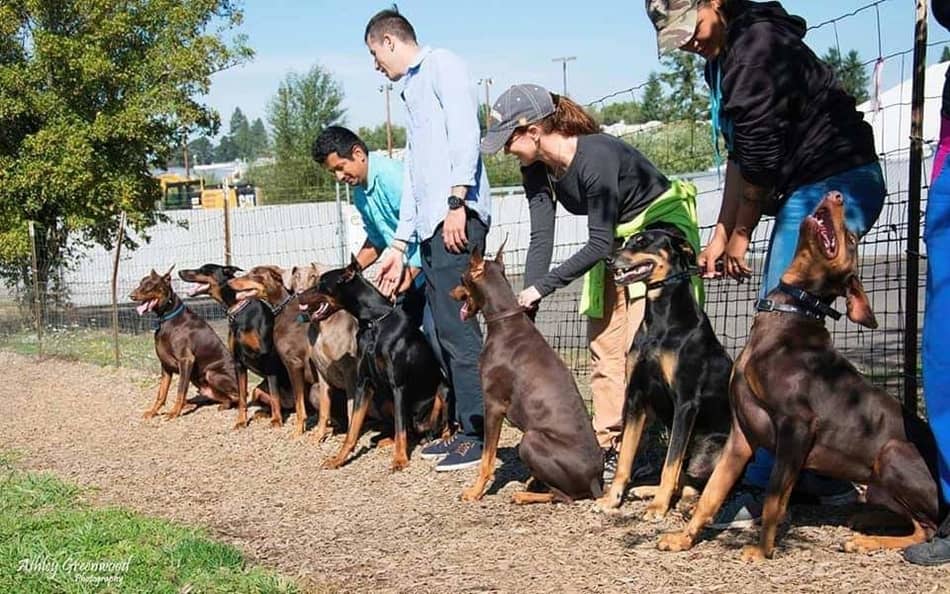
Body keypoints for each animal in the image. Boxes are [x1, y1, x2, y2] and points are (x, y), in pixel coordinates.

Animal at [130, 266, 240, 424]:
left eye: (150, 285)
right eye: (140, 283)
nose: (131, 296)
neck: (167, 318)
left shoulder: (186, 360)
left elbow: (180, 390)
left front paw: (174, 412)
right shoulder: (165, 365)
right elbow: (161, 393)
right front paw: (152, 411)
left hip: (212, 374)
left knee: (236, 397)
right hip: (200, 384)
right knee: (222, 399)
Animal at [298, 260, 446, 472]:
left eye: (320, 283)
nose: (298, 295)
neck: (373, 323)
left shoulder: (398, 386)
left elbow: (400, 426)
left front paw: (400, 460)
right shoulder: (363, 384)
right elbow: (353, 428)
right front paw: (338, 459)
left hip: (442, 390)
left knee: (439, 424)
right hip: (383, 400)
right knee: (409, 428)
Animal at [452, 243, 604, 502]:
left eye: (462, 277)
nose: (451, 292)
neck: (505, 322)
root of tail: (595, 480)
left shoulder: (493, 404)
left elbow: (486, 460)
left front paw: (475, 491)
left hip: (530, 439)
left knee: (562, 497)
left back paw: (525, 494)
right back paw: (533, 482)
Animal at [596, 224, 736, 516]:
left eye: (643, 241)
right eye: (627, 241)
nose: (608, 260)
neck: (661, 321)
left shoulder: (685, 402)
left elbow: (670, 465)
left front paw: (659, 507)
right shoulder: (636, 397)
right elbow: (625, 459)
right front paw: (612, 499)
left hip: (713, 446)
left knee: (701, 482)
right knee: (683, 477)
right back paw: (646, 491)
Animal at [660, 191, 948, 560]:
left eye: (852, 238)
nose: (837, 194)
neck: (788, 315)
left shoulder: (796, 427)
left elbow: (773, 500)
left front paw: (762, 551)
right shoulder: (741, 435)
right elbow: (711, 494)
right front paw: (682, 539)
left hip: (893, 452)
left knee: (926, 529)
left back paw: (867, 539)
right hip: (878, 483)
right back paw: (865, 521)